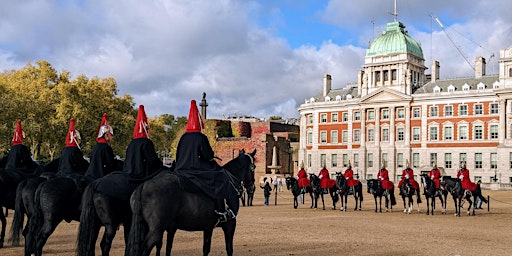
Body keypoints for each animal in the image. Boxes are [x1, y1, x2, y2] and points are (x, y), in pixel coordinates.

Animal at [124, 148, 256, 256]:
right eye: (253, 167)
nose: (251, 187)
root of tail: (144, 185)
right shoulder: (230, 224)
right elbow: (229, 249)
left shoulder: (208, 227)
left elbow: (206, 249)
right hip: (156, 231)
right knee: (145, 249)